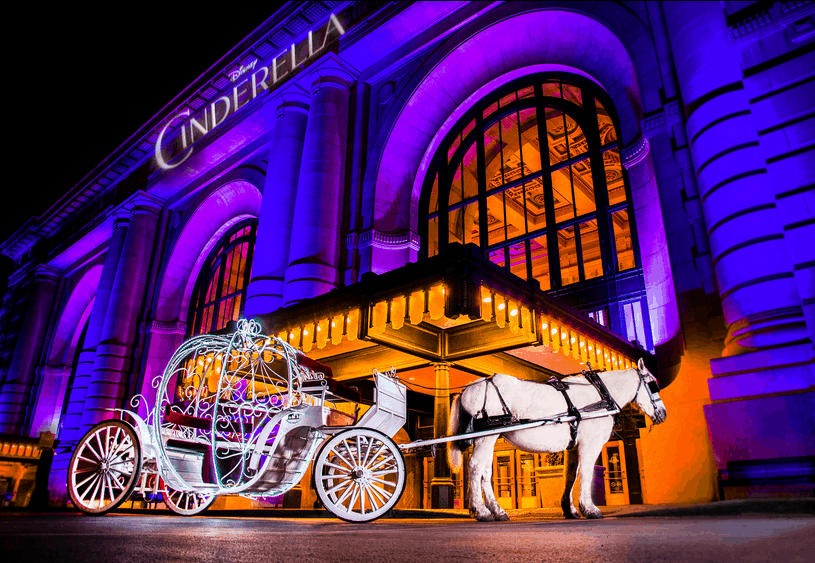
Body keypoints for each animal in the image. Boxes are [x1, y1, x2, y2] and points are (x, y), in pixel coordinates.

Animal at [450, 360, 668, 524]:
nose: (663, 414)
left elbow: (570, 474)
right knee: (475, 467)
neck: (600, 395)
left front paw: (569, 509)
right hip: (486, 436)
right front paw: (589, 508)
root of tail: (470, 387)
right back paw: (482, 512)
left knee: (485, 472)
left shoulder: (574, 445)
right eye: (652, 385)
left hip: (490, 436)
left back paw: (498, 511)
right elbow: (586, 473)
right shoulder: (591, 443)